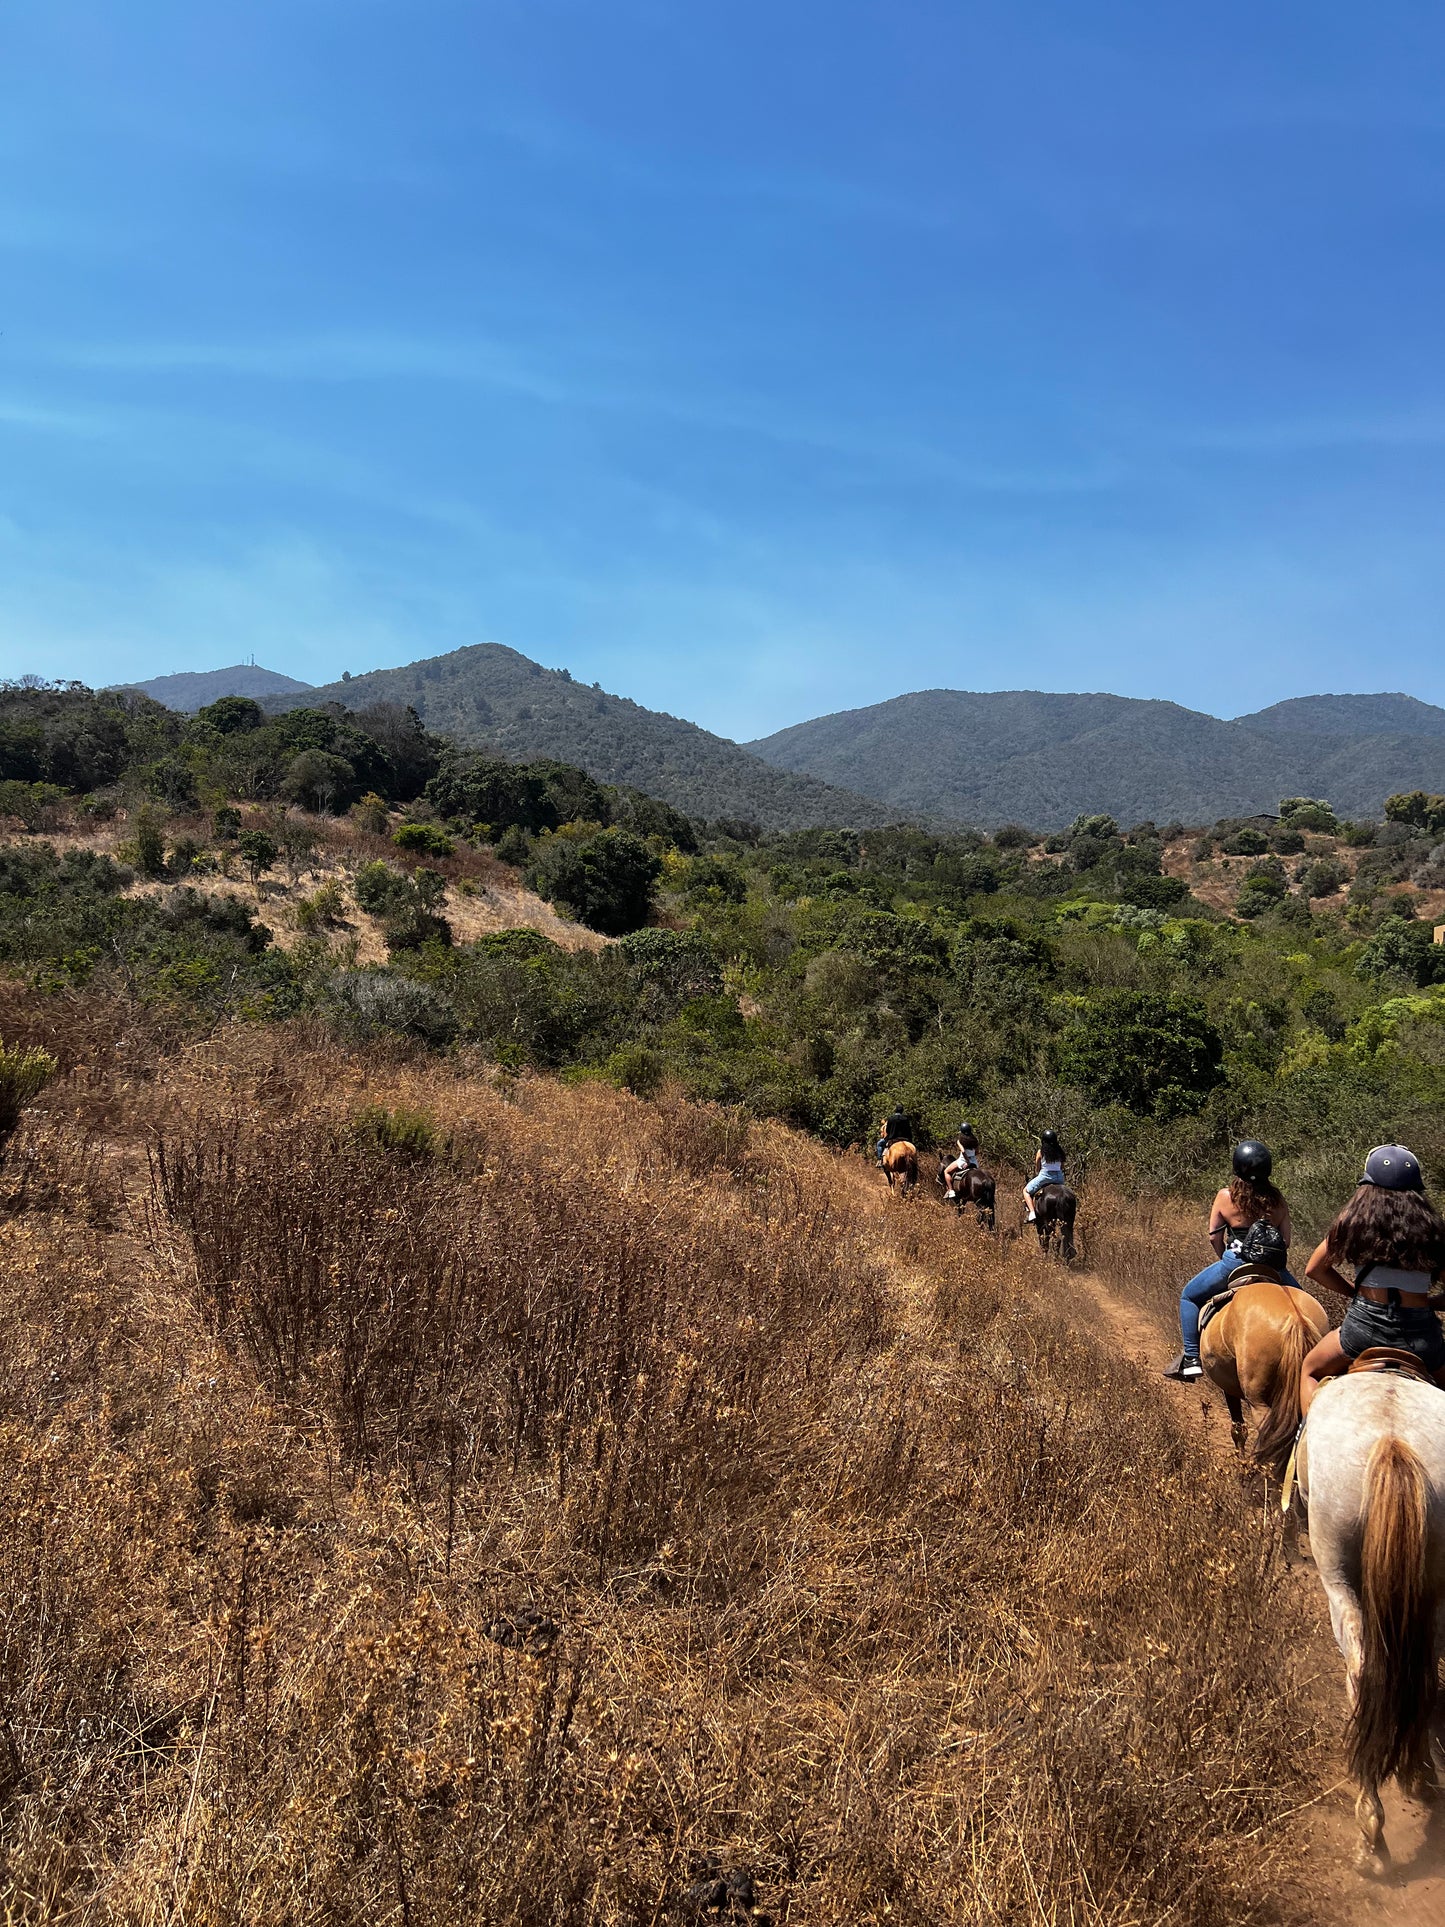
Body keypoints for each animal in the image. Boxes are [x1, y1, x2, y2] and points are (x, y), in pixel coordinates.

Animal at [1302, 1372, 1445, 1865]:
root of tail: (1393, 1441)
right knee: (1425, 1677)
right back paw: (1419, 1776)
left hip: (1337, 1572)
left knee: (1363, 1674)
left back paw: (1371, 1829)